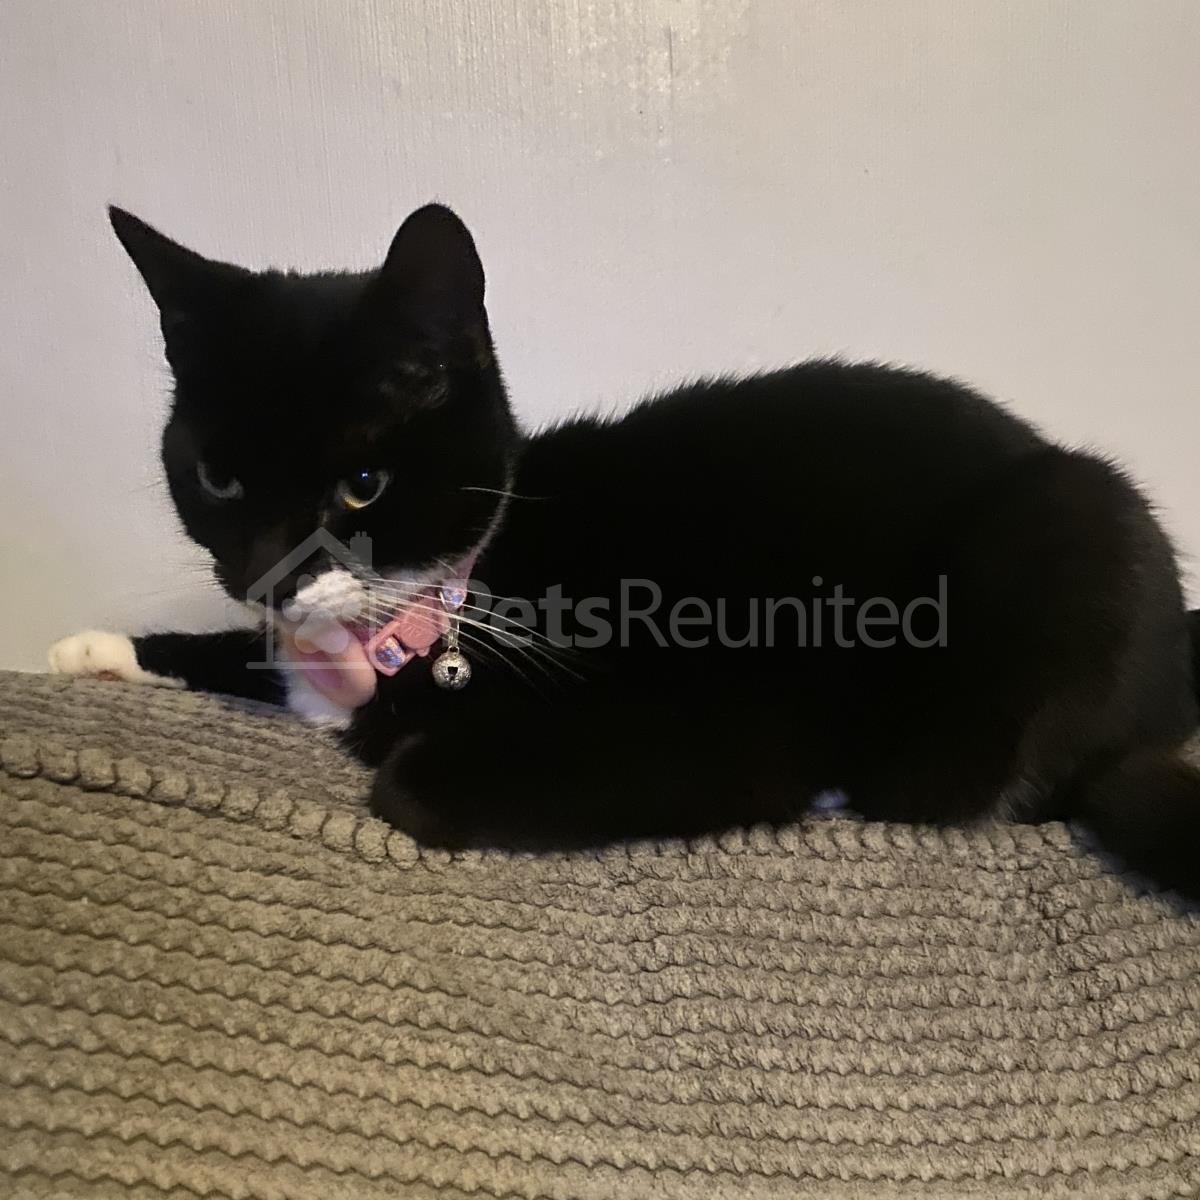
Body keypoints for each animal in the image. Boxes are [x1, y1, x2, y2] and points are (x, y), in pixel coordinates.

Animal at [49, 202, 1200, 899]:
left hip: (1065, 531)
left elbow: (404, 781)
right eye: (218, 480)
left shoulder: (729, 725)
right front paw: (99, 650)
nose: (267, 577)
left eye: (362, 483)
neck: (446, 599)